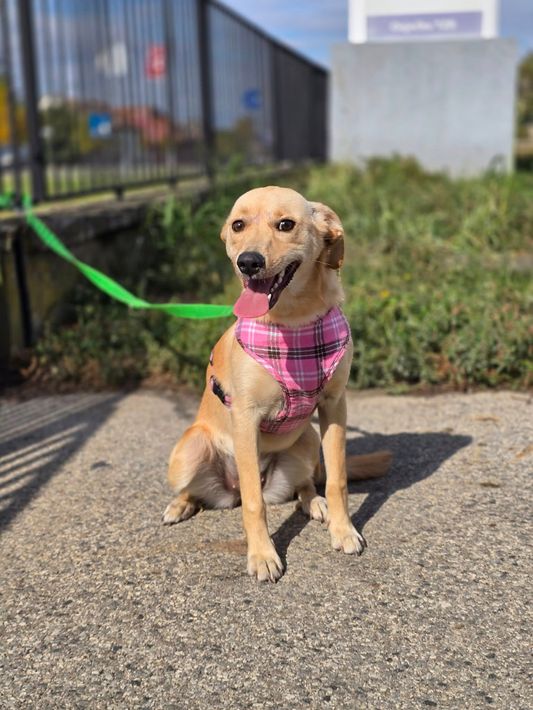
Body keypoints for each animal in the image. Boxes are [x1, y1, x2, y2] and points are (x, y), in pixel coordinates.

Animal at [163, 186, 391, 582]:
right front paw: (263, 555)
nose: (248, 262)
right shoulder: (245, 417)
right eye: (238, 225)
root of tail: (230, 491)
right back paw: (180, 505)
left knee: (306, 483)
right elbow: (254, 505)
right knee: (204, 491)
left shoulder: (334, 405)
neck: (294, 322)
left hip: (308, 441)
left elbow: (337, 479)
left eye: (285, 224)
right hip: (189, 450)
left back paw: (314, 503)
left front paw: (344, 530)